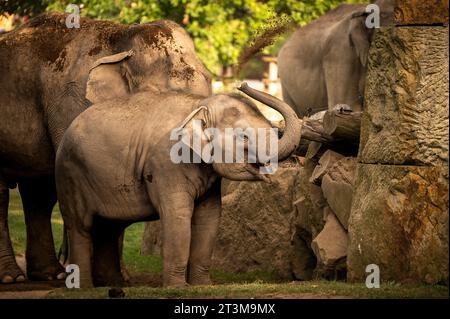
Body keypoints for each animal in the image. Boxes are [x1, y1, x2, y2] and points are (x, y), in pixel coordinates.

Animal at [0, 11, 211, 284]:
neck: (120, 38)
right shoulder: (72, 102)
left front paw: (119, 279)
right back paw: (13, 278)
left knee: (39, 192)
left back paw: (50, 274)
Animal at [55, 82, 302, 288]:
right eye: (243, 137)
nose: (242, 84)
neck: (199, 105)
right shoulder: (166, 163)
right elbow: (178, 215)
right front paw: (176, 288)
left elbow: (209, 217)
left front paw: (203, 286)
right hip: (70, 175)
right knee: (81, 226)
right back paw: (85, 288)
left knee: (109, 228)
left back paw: (113, 285)